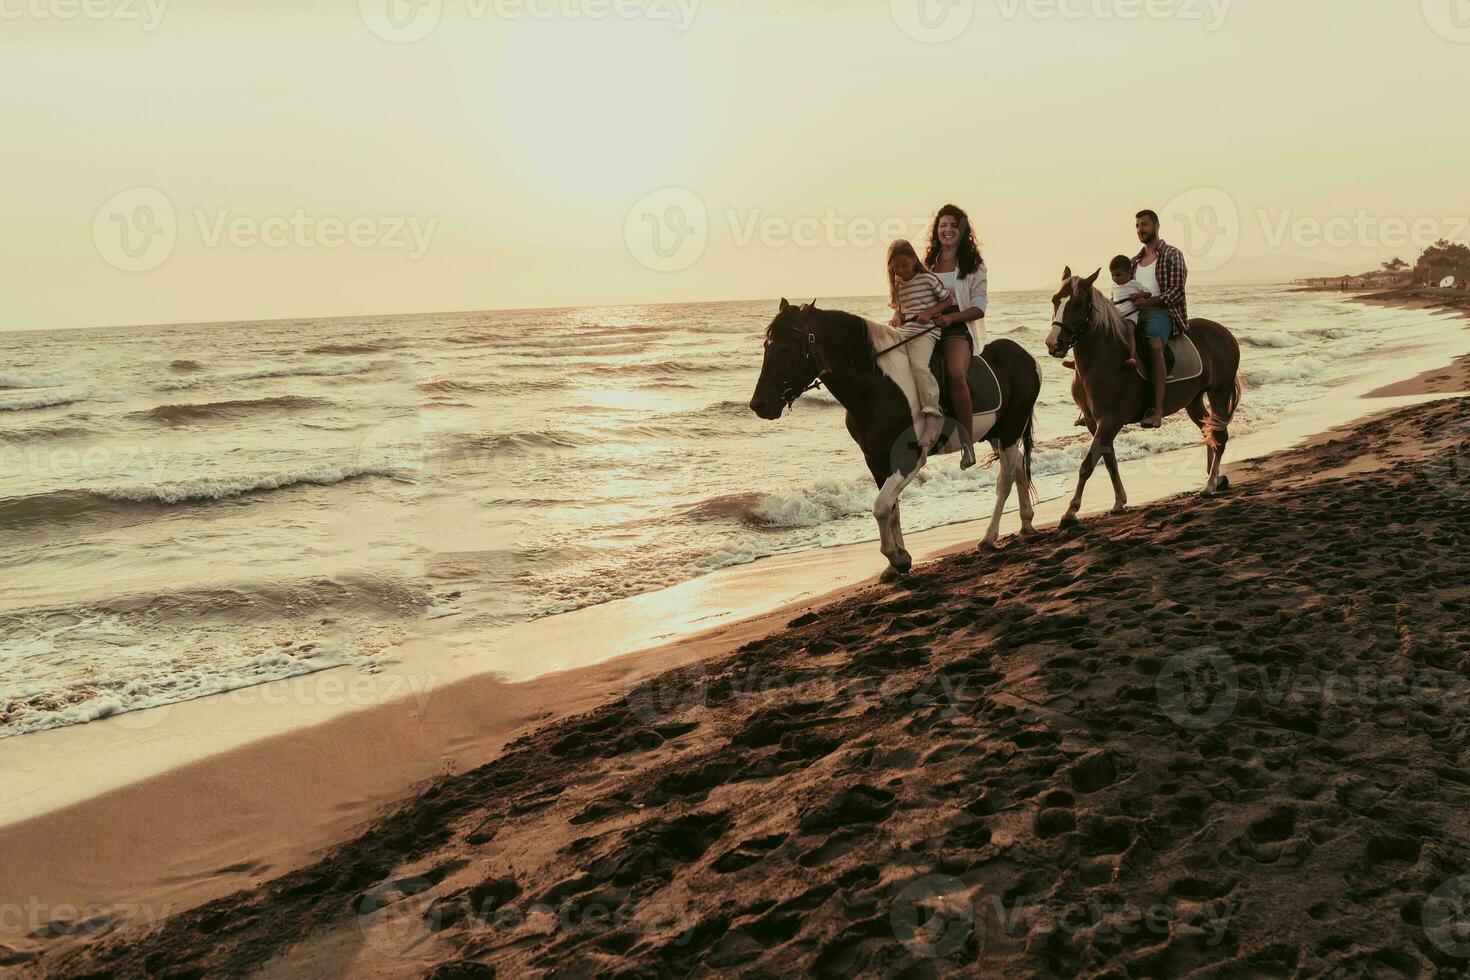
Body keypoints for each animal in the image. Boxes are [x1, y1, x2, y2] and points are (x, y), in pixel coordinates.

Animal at [746, 299, 1046, 581]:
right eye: (766, 346)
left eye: (786, 349)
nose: (759, 404)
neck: (876, 388)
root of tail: (1025, 356)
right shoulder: (876, 458)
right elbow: (891, 508)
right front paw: (896, 562)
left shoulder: (909, 458)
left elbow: (880, 507)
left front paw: (897, 557)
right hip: (995, 433)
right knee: (1019, 467)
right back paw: (1026, 523)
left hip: (1011, 428)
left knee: (1005, 479)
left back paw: (989, 537)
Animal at [1046, 265, 1240, 528]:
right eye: (1055, 300)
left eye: (1078, 303)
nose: (1053, 343)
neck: (1102, 360)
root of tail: (1225, 333)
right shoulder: (1094, 422)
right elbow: (1108, 460)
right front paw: (1119, 501)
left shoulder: (1110, 420)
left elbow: (1087, 464)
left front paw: (1071, 511)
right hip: (1194, 401)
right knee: (1208, 432)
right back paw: (1215, 479)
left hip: (1219, 392)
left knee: (1219, 436)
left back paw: (1209, 486)